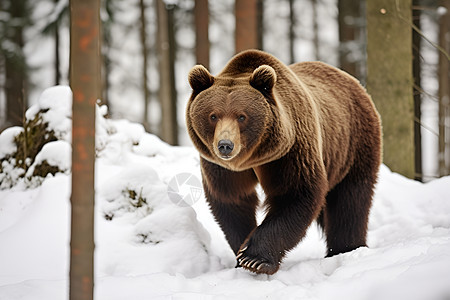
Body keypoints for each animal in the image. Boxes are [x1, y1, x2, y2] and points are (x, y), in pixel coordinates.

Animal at [185, 48, 382, 274]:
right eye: (213, 116)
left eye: (242, 116)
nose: (225, 145)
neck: (253, 158)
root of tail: (354, 82)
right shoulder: (222, 168)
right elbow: (232, 200)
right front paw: (241, 253)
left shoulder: (289, 152)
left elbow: (294, 194)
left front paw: (255, 258)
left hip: (353, 143)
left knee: (350, 200)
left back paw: (346, 249)